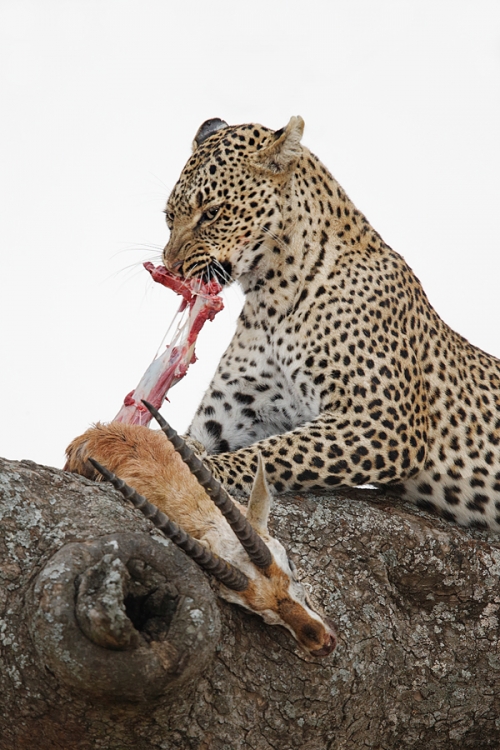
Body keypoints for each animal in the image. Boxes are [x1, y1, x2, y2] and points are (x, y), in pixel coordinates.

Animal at [159, 114, 500, 532]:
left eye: (211, 213)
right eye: (169, 217)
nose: (171, 266)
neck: (270, 298)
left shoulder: (384, 422)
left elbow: (271, 454)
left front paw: (204, 469)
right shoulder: (227, 418)